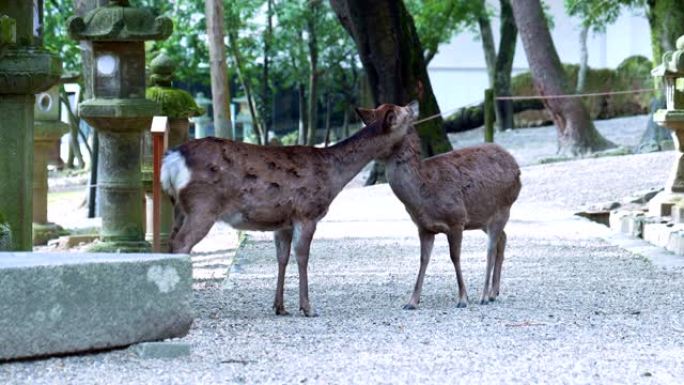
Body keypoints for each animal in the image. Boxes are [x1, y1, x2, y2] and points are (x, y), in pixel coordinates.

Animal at [162, 101, 416, 316]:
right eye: (403, 112)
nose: (414, 104)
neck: (333, 177)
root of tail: (171, 161)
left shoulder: (283, 221)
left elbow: (282, 257)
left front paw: (280, 307)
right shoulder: (307, 213)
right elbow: (302, 256)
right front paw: (308, 308)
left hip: (179, 208)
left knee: (170, 241)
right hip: (202, 205)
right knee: (182, 243)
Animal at [356, 103, 520, 308]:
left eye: (388, 120)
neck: (423, 197)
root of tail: (516, 166)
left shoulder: (457, 219)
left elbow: (454, 257)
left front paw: (462, 299)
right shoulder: (423, 227)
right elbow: (423, 259)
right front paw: (411, 302)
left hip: (502, 207)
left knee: (491, 248)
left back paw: (483, 296)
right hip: (481, 217)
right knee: (503, 238)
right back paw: (493, 292)